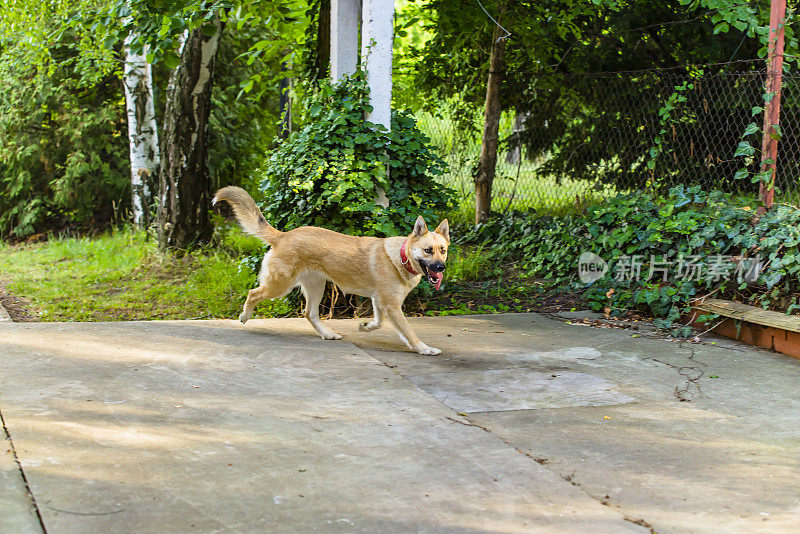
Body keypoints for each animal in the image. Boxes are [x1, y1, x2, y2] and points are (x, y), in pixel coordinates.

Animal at [212, 187, 450, 356]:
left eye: (443, 250)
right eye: (428, 250)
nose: (441, 268)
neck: (401, 258)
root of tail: (283, 235)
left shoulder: (380, 302)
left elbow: (378, 322)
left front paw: (365, 326)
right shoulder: (391, 305)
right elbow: (409, 332)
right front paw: (424, 348)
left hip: (316, 286)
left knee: (309, 313)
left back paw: (327, 334)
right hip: (279, 286)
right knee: (253, 294)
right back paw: (244, 316)